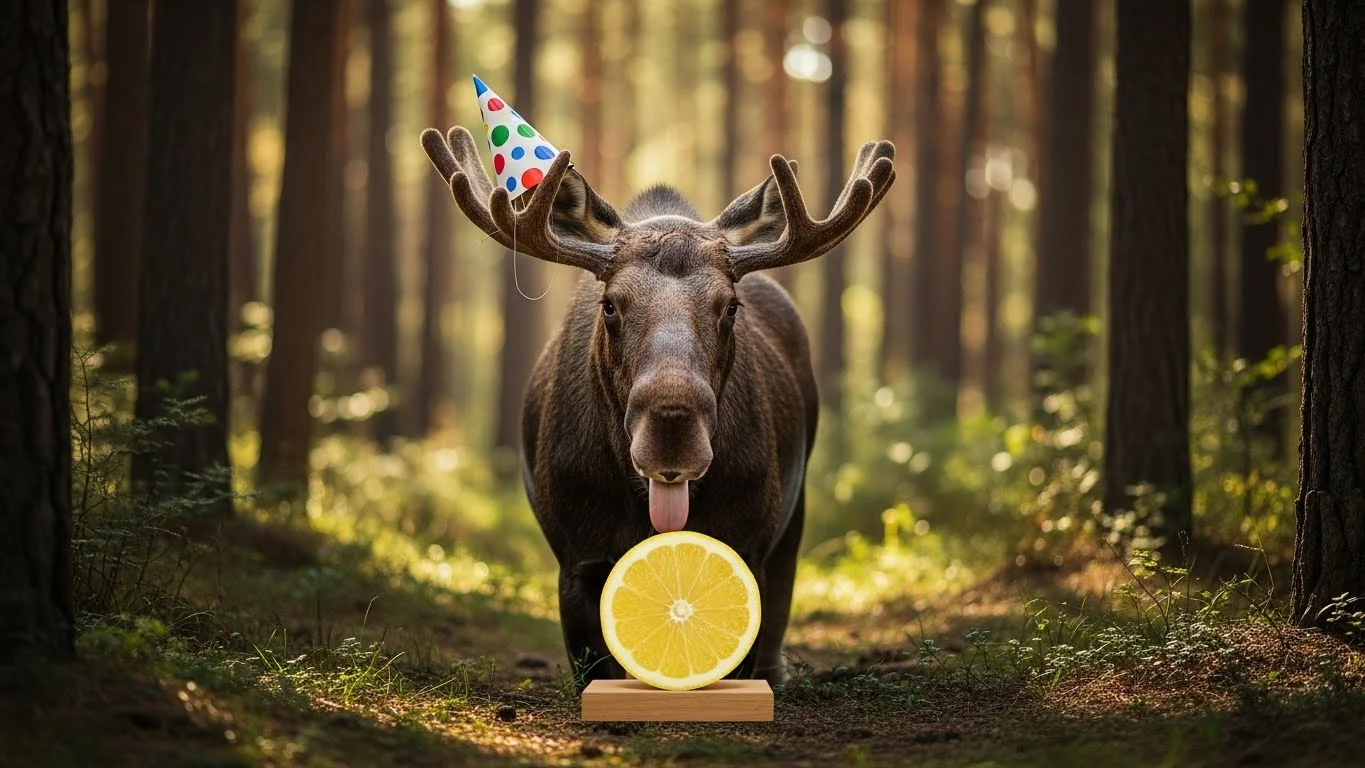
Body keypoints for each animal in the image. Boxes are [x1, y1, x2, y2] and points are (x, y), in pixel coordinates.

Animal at [420, 125, 894, 686]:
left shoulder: (746, 546)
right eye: (609, 305)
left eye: (730, 306)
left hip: (792, 509)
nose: (673, 433)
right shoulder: (577, 560)